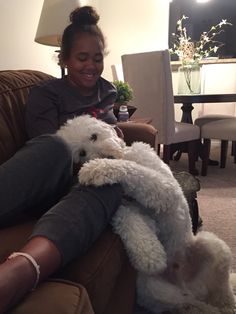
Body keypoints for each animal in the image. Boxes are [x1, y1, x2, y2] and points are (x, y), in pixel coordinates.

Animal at [57, 115, 236, 314]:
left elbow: (135, 171)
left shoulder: (166, 189)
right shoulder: (125, 208)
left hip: (212, 247)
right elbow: (129, 220)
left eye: (94, 136)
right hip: (153, 291)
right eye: (81, 153)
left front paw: (97, 168)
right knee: (193, 305)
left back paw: (227, 305)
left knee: (223, 291)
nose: (106, 156)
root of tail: (189, 286)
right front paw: (150, 255)